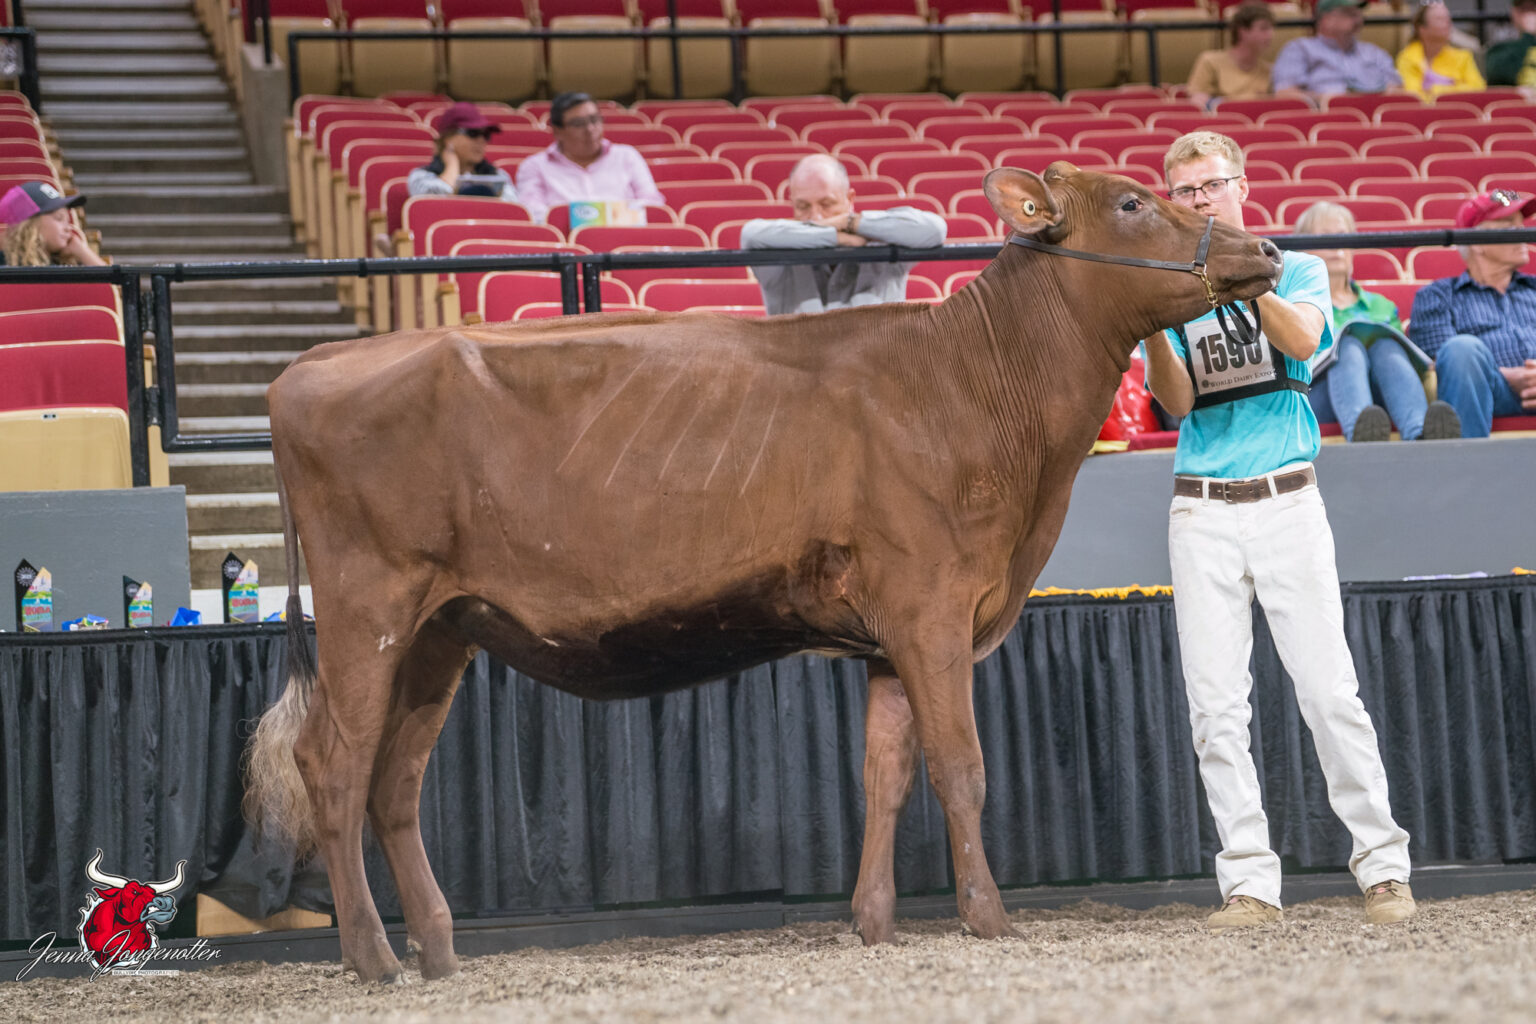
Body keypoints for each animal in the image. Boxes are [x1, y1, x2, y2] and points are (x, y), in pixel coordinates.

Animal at [245, 164, 1282, 984]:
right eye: (1133, 201)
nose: (1264, 247)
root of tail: (313, 365)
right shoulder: (934, 602)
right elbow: (961, 766)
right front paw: (987, 918)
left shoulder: (892, 632)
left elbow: (885, 773)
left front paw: (872, 923)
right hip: (369, 605)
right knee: (333, 766)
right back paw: (373, 959)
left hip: (441, 627)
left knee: (395, 782)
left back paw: (436, 947)